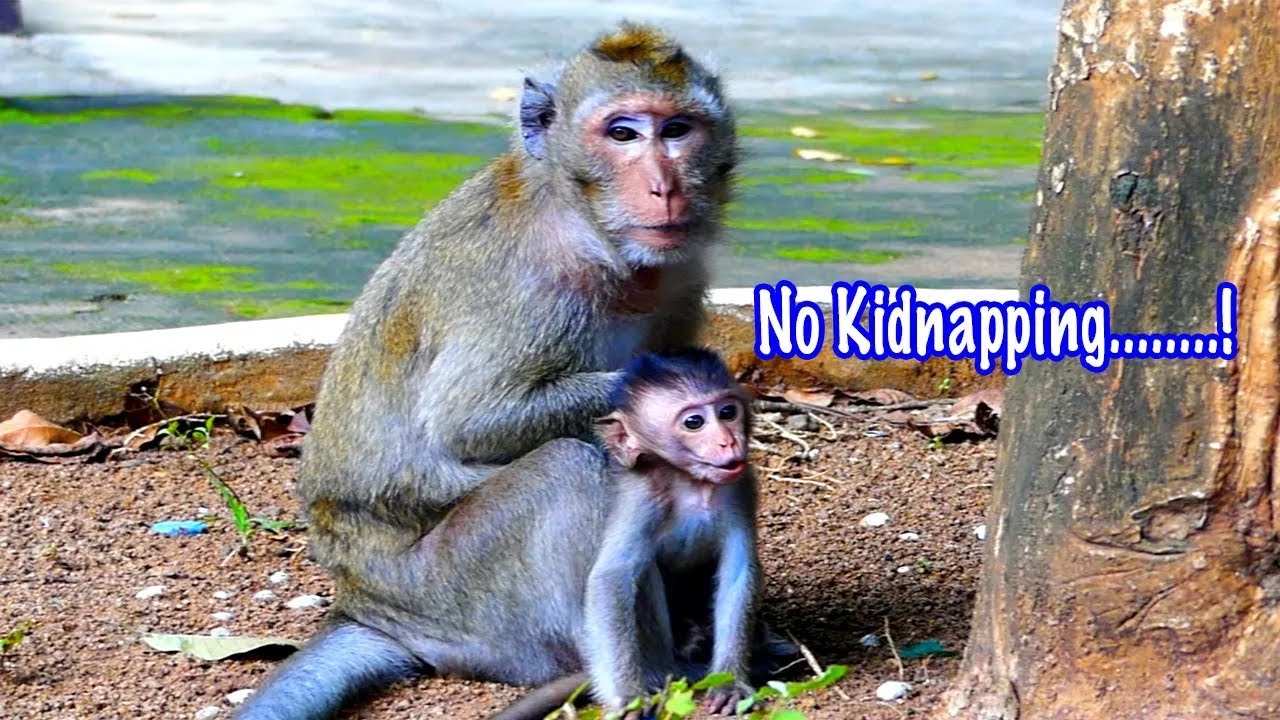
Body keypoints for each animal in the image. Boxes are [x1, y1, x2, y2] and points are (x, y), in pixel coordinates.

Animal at [234, 22, 743, 720]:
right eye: (622, 133)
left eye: (676, 130)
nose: (665, 186)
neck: (588, 229)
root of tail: (366, 605)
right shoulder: (527, 287)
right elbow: (471, 425)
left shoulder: (680, 275)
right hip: (453, 592)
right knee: (567, 469)